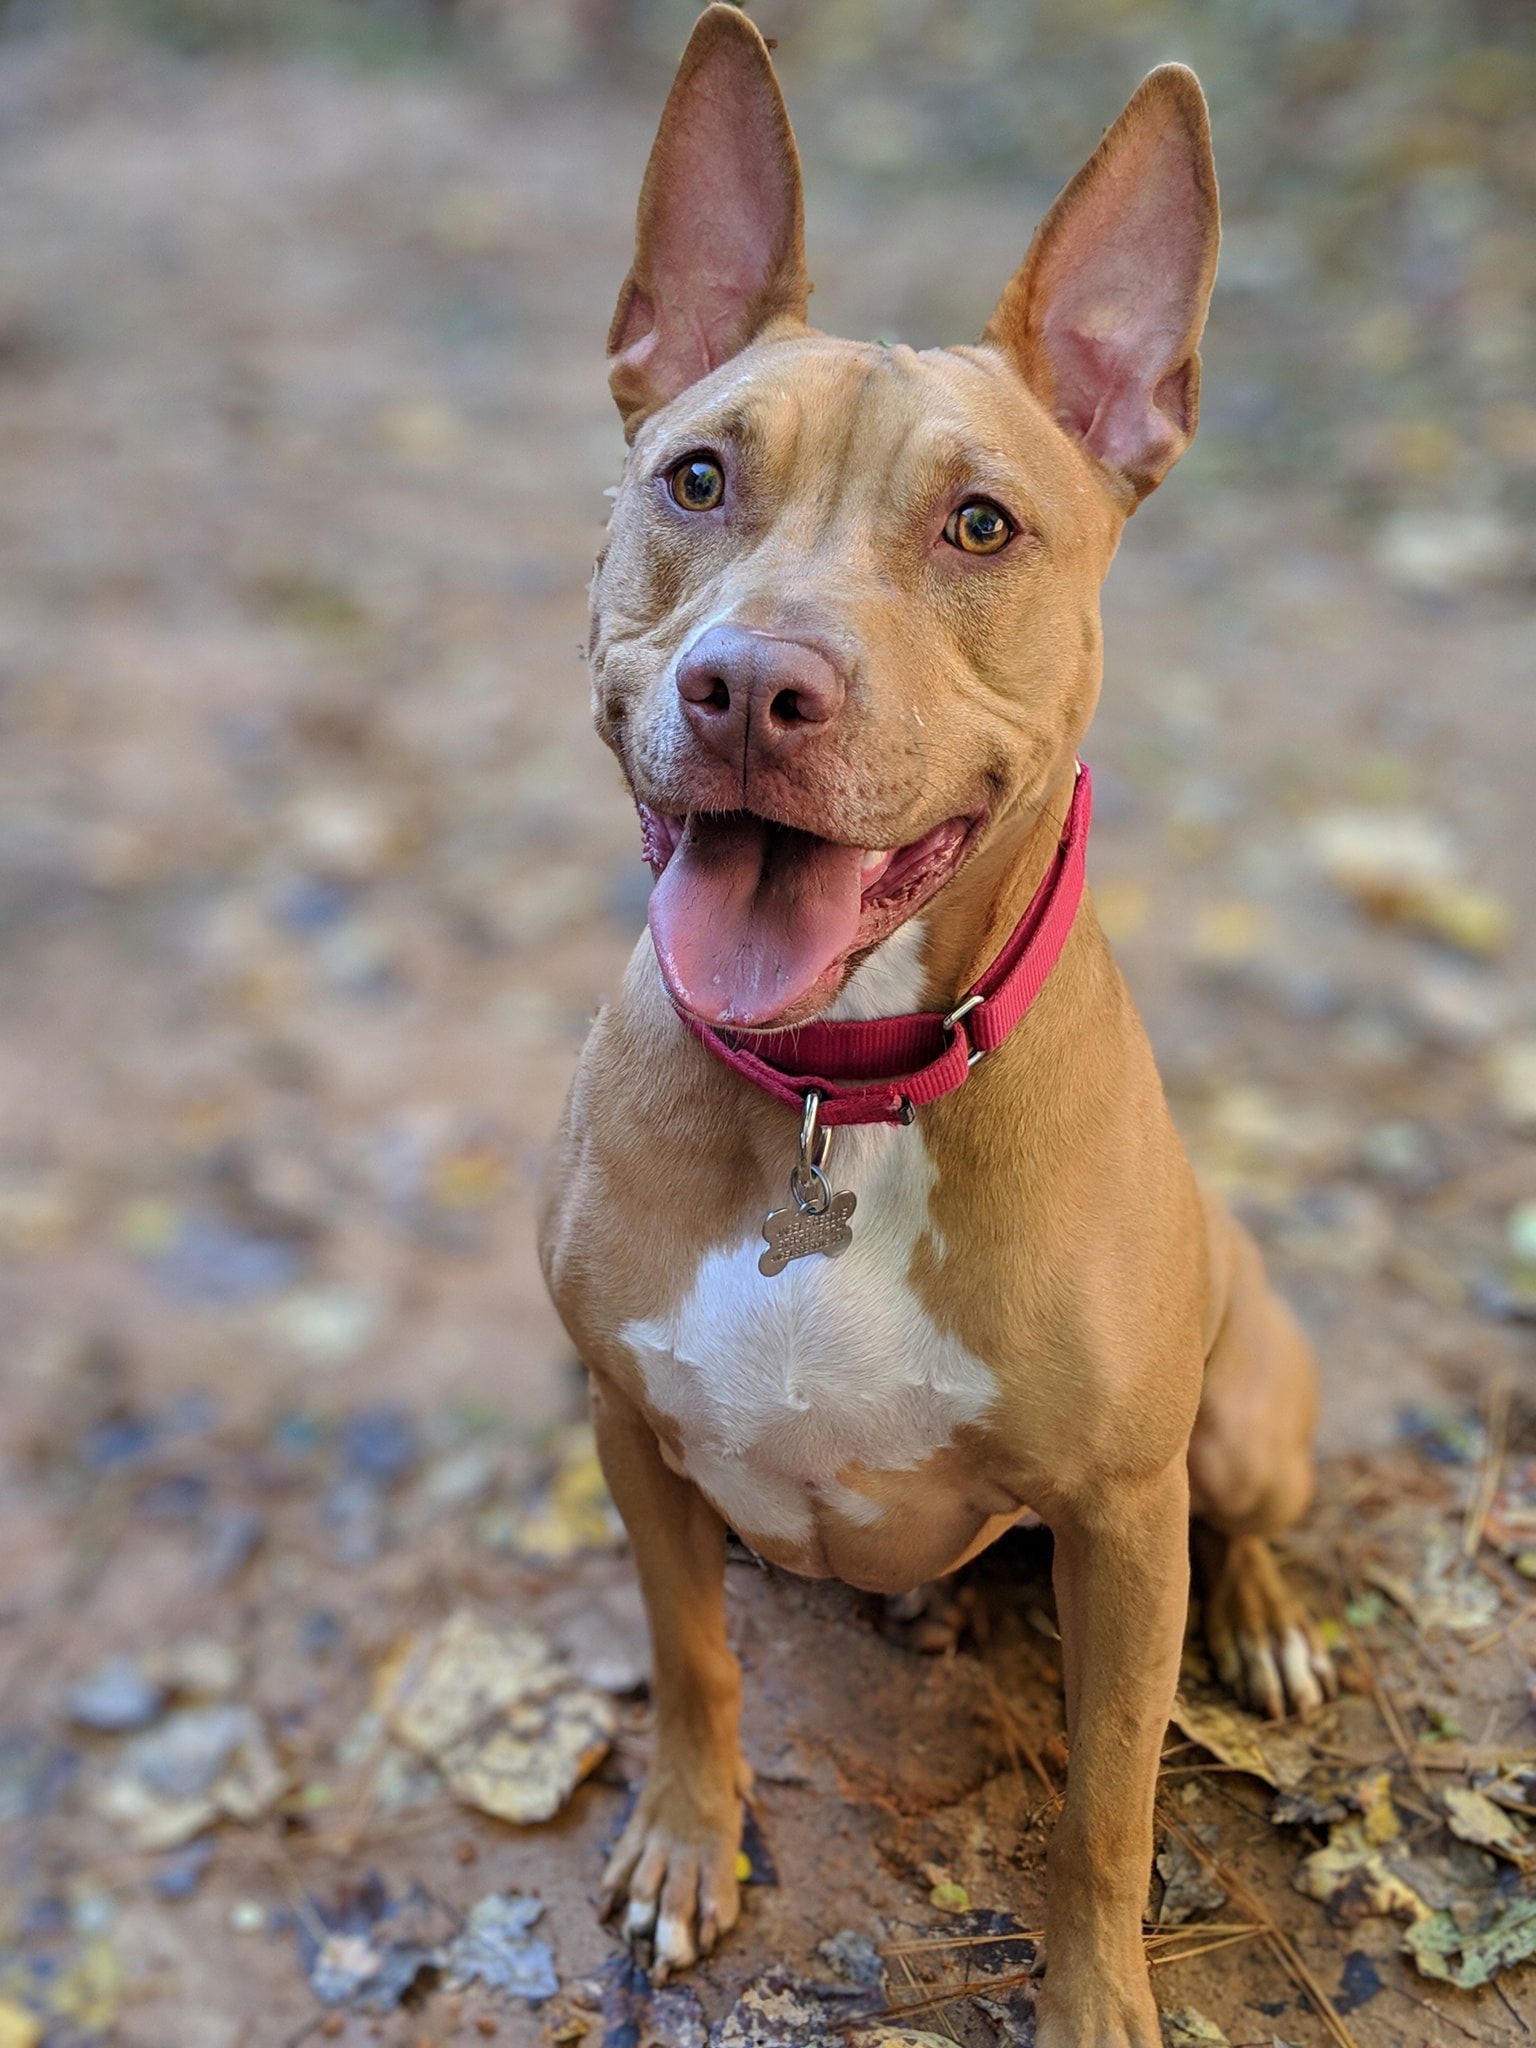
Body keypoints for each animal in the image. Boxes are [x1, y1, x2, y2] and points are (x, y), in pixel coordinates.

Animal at [540, 12, 1335, 2031]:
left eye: (982, 524)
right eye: (694, 479)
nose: (752, 686)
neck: (846, 1089)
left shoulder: (1122, 1522)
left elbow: (1109, 1803)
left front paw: (1097, 1998)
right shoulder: (629, 1425)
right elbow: (690, 1655)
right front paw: (692, 1840)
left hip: (1242, 1410)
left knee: (1251, 1511)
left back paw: (1270, 1624)